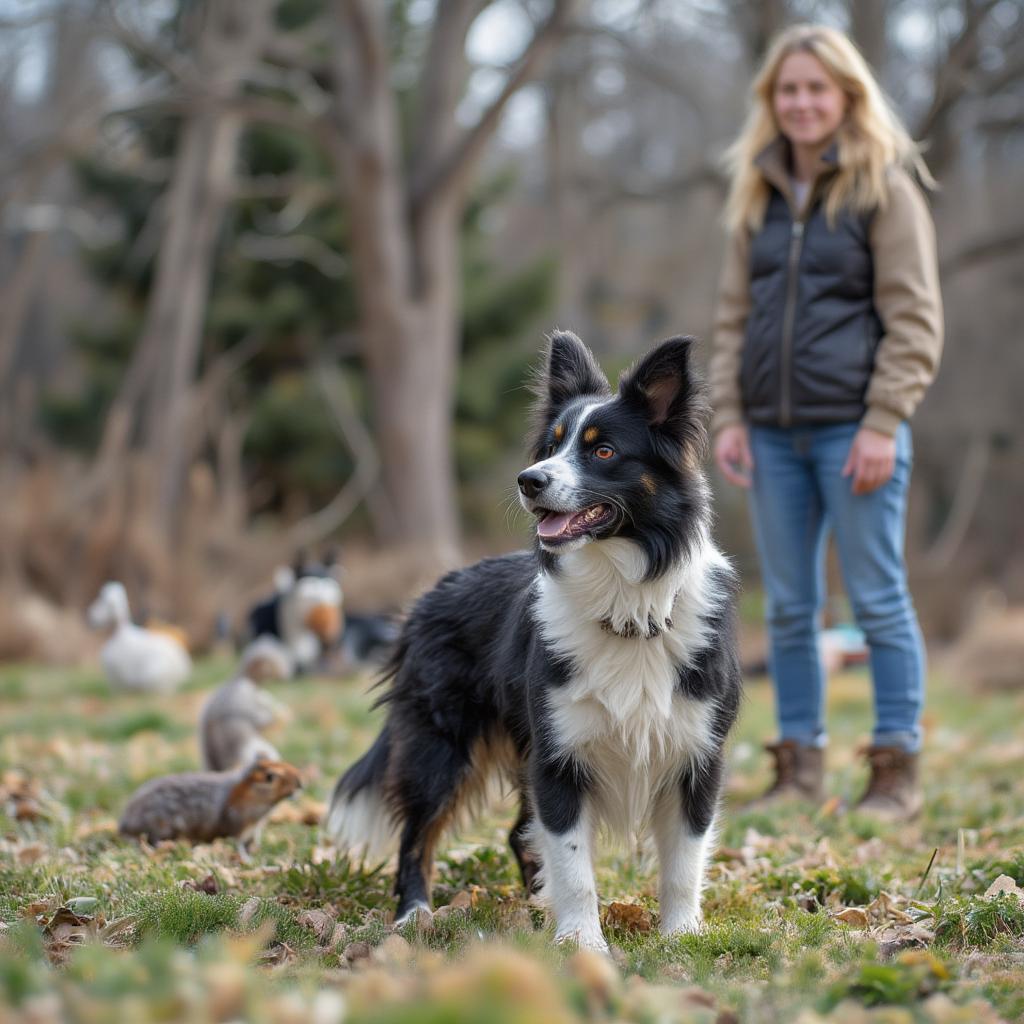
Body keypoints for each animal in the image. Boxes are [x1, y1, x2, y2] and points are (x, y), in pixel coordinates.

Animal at [323, 331, 741, 946]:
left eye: (603, 451)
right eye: (551, 444)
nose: (529, 480)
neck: (625, 602)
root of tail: (430, 593)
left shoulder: (697, 754)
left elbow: (684, 861)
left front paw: (681, 937)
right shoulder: (559, 755)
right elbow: (573, 862)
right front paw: (582, 943)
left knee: (518, 832)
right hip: (440, 746)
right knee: (419, 834)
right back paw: (414, 914)